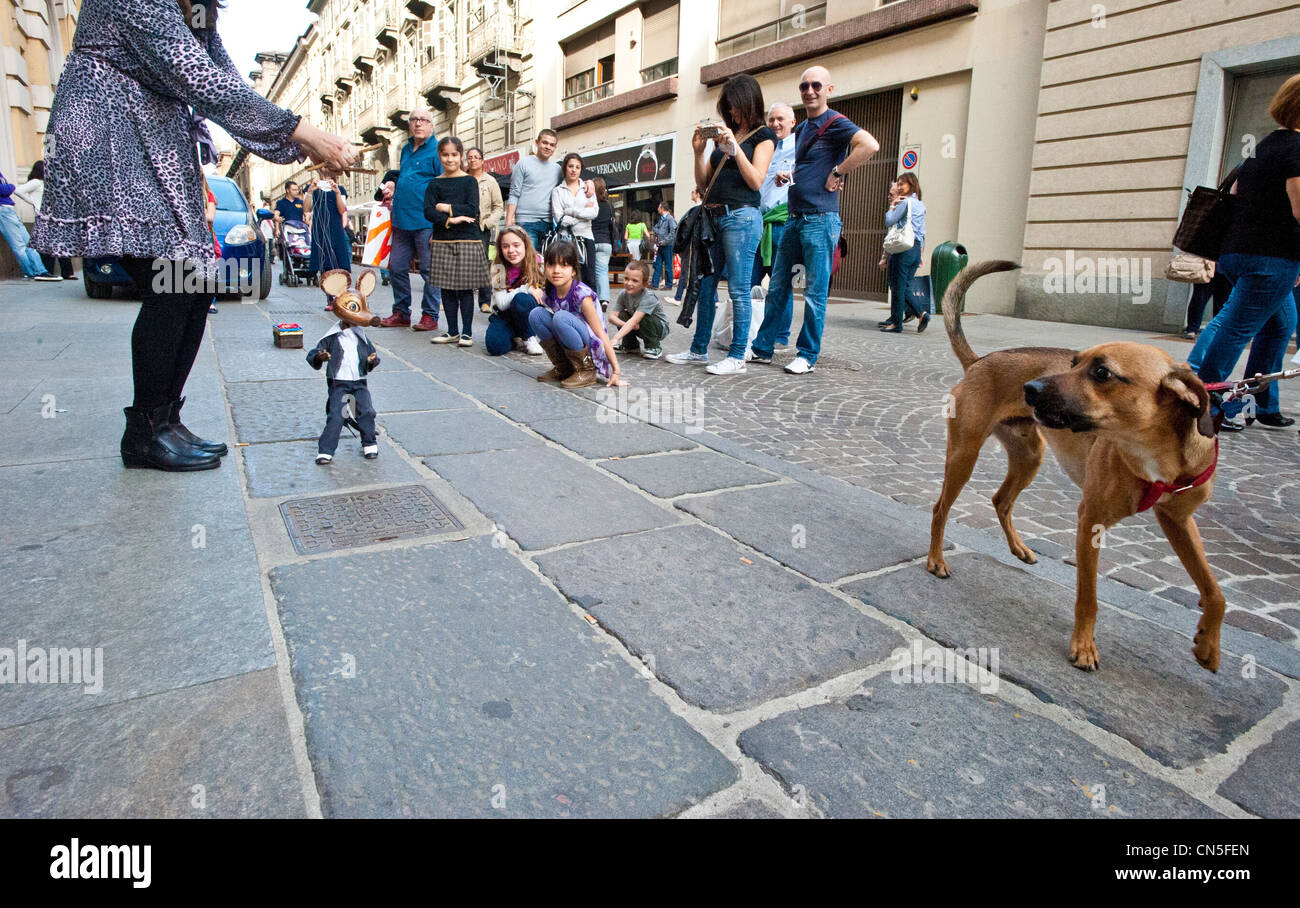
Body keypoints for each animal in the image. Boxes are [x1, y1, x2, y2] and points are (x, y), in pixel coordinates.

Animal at [930, 257, 1222, 666]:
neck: (1155, 452)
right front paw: (1083, 646)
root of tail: (980, 361)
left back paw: (1019, 548)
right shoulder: (1091, 521)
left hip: (1029, 457)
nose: (1030, 389)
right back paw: (936, 560)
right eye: (1073, 362)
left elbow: (1214, 590)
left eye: (1102, 372)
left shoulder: (1178, 520)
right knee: (940, 508)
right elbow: (1089, 597)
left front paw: (1208, 644)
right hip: (964, 456)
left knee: (1000, 500)